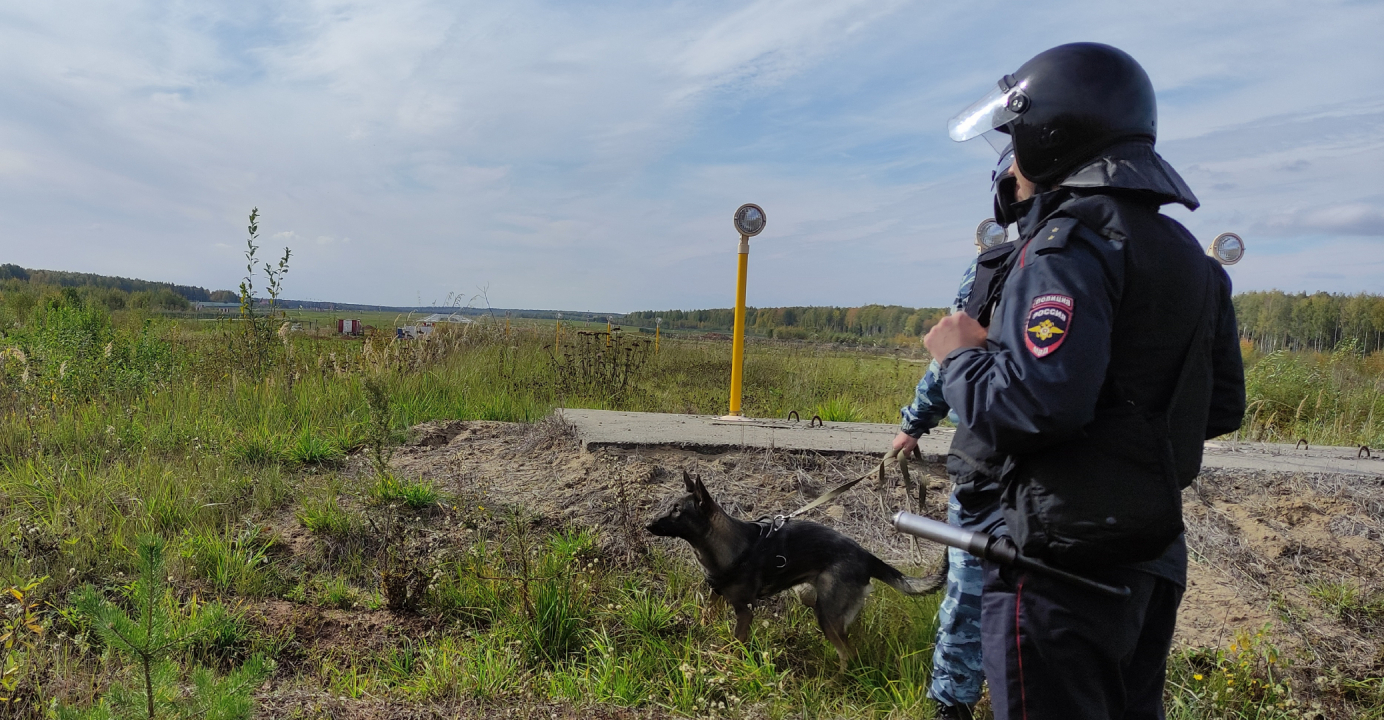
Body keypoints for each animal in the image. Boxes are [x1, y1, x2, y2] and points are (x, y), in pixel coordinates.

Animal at [647, 470, 952, 667]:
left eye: (677, 510)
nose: (648, 524)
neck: (723, 545)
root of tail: (867, 556)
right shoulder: (714, 598)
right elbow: (705, 620)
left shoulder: (745, 612)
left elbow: (736, 644)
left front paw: (727, 663)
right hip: (814, 599)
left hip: (826, 614)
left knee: (848, 654)